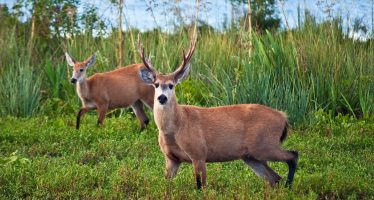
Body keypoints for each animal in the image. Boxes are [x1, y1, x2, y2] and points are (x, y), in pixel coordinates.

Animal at [137, 35, 298, 190]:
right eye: (156, 84)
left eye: (171, 85)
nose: (162, 97)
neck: (176, 126)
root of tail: (283, 116)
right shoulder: (171, 159)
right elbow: (166, 184)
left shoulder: (199, 153)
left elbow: (200, 187)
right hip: (251, 156)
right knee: (274, 178)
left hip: (265, 144)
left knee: (293, 156)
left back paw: (289, 187)